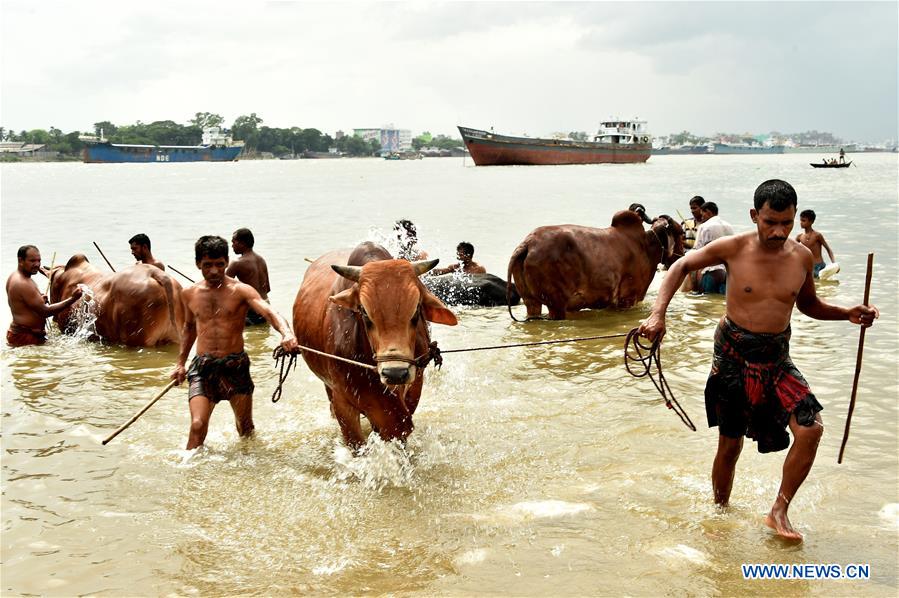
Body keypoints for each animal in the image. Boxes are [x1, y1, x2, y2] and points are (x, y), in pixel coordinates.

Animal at [506, 213, 684, 322]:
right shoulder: (627, 299)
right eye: (682, 233)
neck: (647, 247)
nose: (682, 255)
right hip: (556, 304)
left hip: (531, 302)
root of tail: (528, 243)